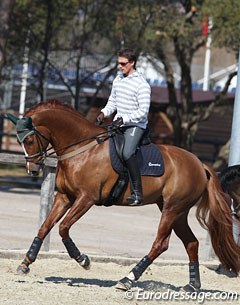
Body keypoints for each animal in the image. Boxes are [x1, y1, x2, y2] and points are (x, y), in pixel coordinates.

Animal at [5, 99, 240, 290]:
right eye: (19, 141)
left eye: (29, 141)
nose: (33, 170)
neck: (82, 148)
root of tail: (200, 164)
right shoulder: (64, 197)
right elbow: (45, 226)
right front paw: (25, 263)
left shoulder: (86, 199)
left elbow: (63, 228)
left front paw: (83, 260)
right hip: (176, 211)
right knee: (191, 243)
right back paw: (192, 285)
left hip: (172, 209)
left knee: (160, 244)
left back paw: (128, 279)